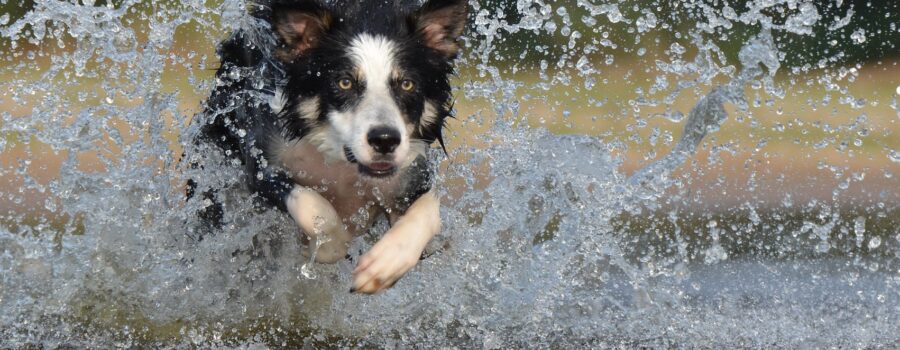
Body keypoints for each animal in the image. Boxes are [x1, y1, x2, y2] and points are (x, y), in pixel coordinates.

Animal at [188, 0, 472, 294]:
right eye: (344, 82)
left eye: (407, 84)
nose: (385, 139)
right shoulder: (262, 161)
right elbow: (313, 206)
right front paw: (328, 246)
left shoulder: (411, 173)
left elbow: (429, 210)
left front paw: (384, 264)